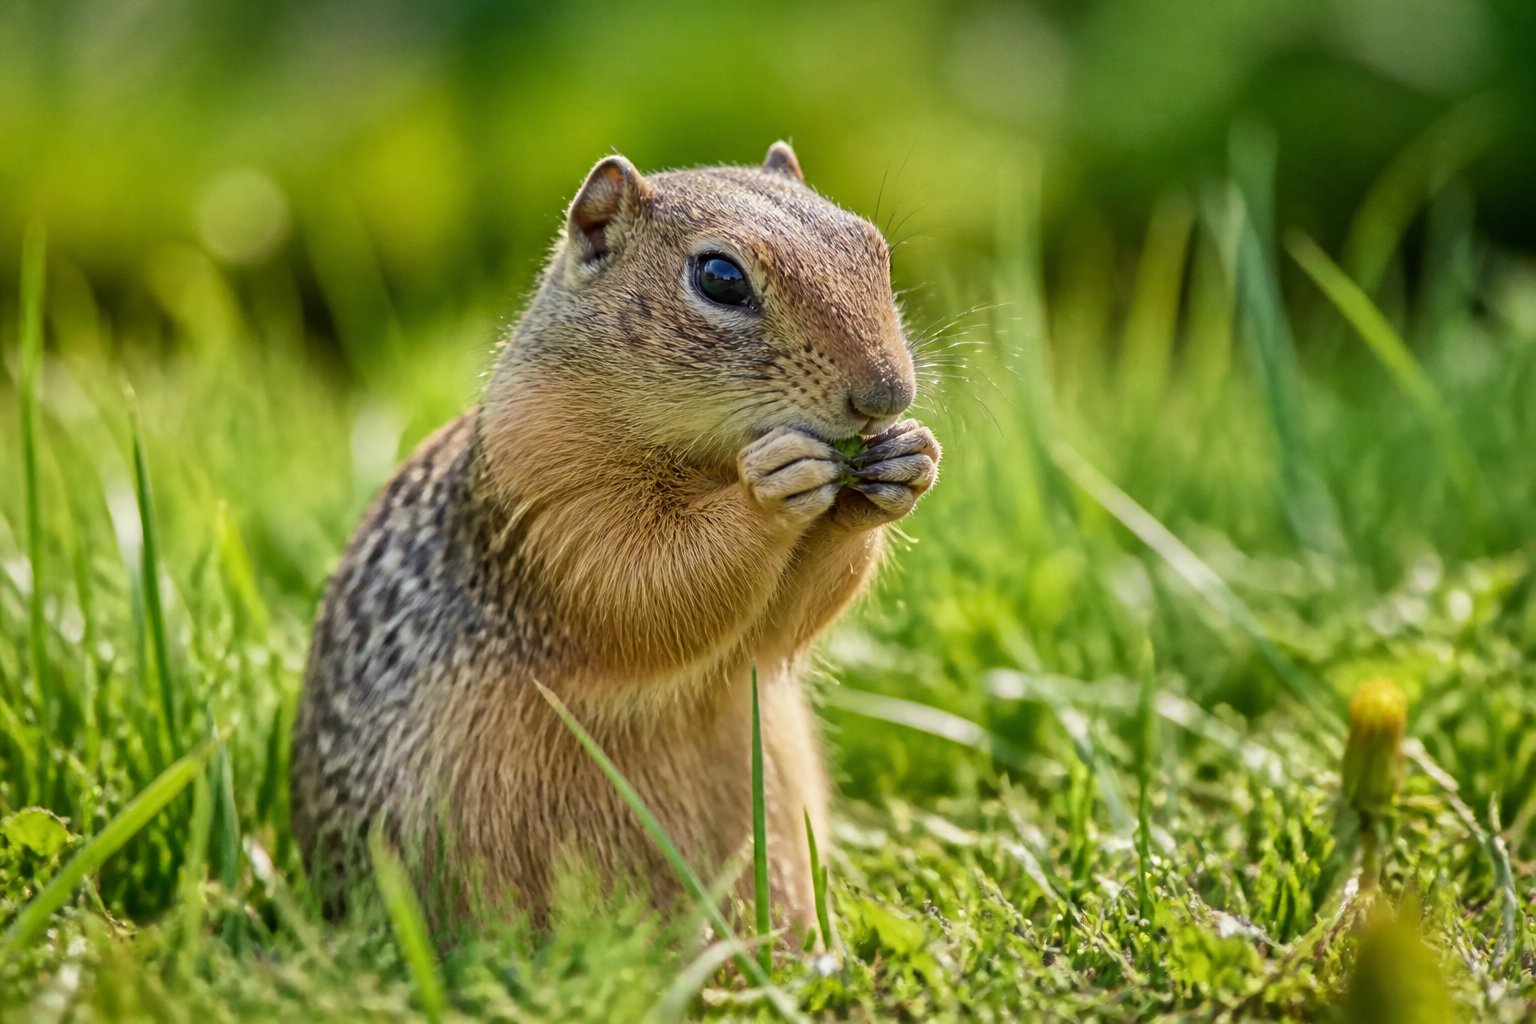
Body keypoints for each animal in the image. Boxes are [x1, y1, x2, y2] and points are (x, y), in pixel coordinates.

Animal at [290, 142, 941, 934]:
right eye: (720, 278)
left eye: (874, 249)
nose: (887, 394)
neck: (710, 458)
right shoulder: (549, 494)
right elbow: (639, 586)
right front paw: (771, 489)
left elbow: (779, 626)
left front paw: (908, 462)